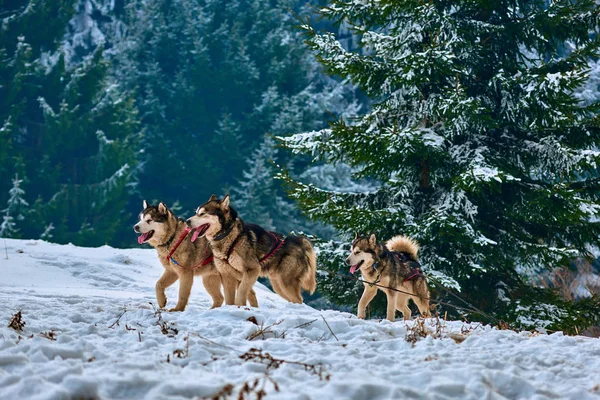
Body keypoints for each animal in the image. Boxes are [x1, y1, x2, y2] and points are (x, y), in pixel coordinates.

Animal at [188, 196, 318, 306]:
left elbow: (241, 292)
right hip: (278, 286)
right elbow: (230, 298)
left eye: (202, 214)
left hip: (285, 283)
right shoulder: (227, 275)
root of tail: (299, 240)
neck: (230, 237)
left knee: (299, 300)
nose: (188, 221)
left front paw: (240, 306)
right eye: (196, 212)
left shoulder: (252, 270)